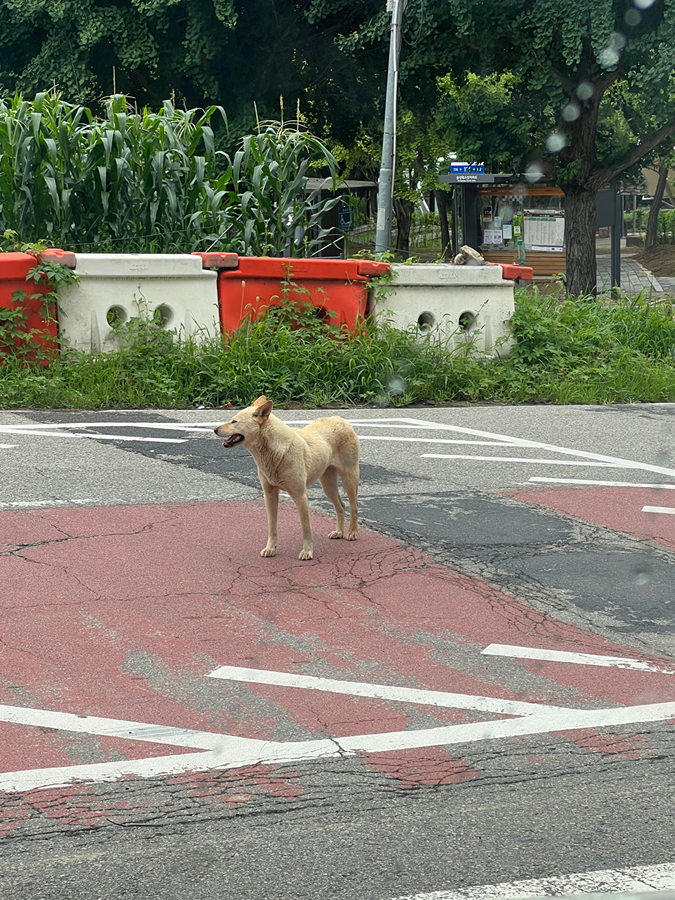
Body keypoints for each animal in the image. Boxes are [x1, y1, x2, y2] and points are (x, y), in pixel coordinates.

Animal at [215, 398, 360, 560]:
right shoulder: (269, 495)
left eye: (234, 421)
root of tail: (341, 419)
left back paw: (352, 533)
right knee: (341, 506)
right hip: (327, 484)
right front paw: (270, 548)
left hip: (349, 479)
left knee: (354, 506)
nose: (214, 429)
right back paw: (339, 532)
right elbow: (272, 527)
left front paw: (307, 551)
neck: (275, 452)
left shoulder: (300, 496)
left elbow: (306, 528)